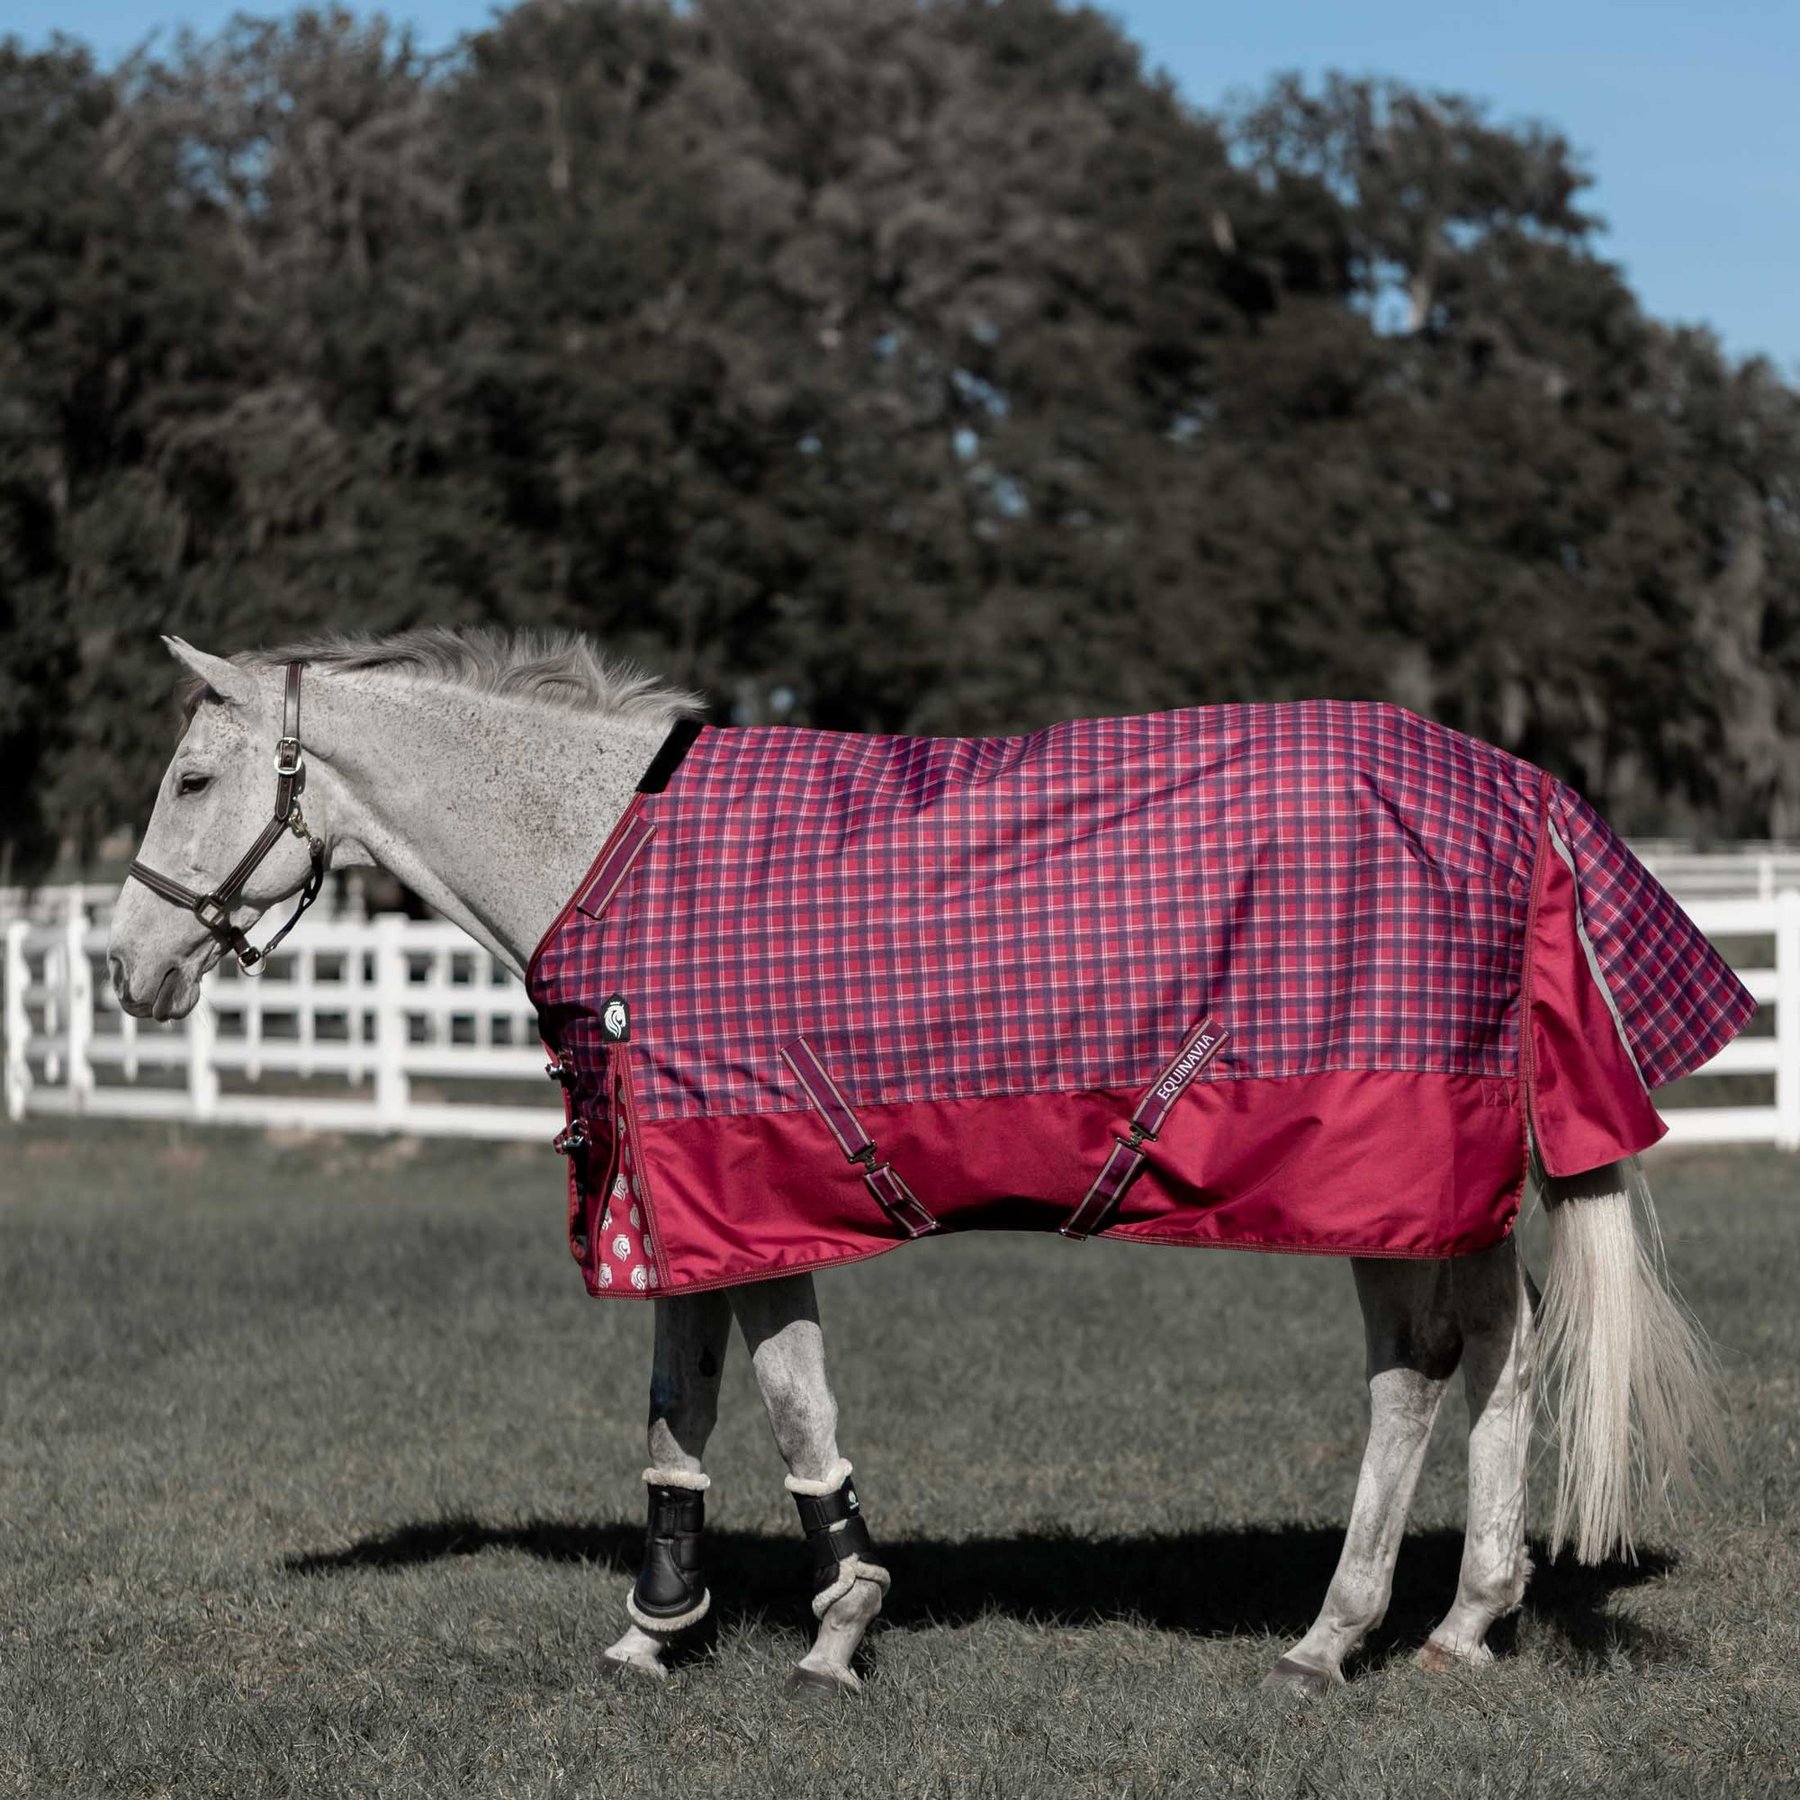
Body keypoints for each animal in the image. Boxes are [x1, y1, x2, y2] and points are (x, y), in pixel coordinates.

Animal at [107, 629, 1735, 1696]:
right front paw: (659, 1621)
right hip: (1451, 1188)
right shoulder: (682, 1182)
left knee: (1413, 1377)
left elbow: (785, 1397)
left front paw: (839, 1622)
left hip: (1375, 1179)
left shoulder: (748, 1185)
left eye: (189, 777)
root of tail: (1518, 795)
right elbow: (681, 1399)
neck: (612, 850)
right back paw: (1468, 1621)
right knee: (1505, 1352)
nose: (130, 970)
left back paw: (1332, 1635)